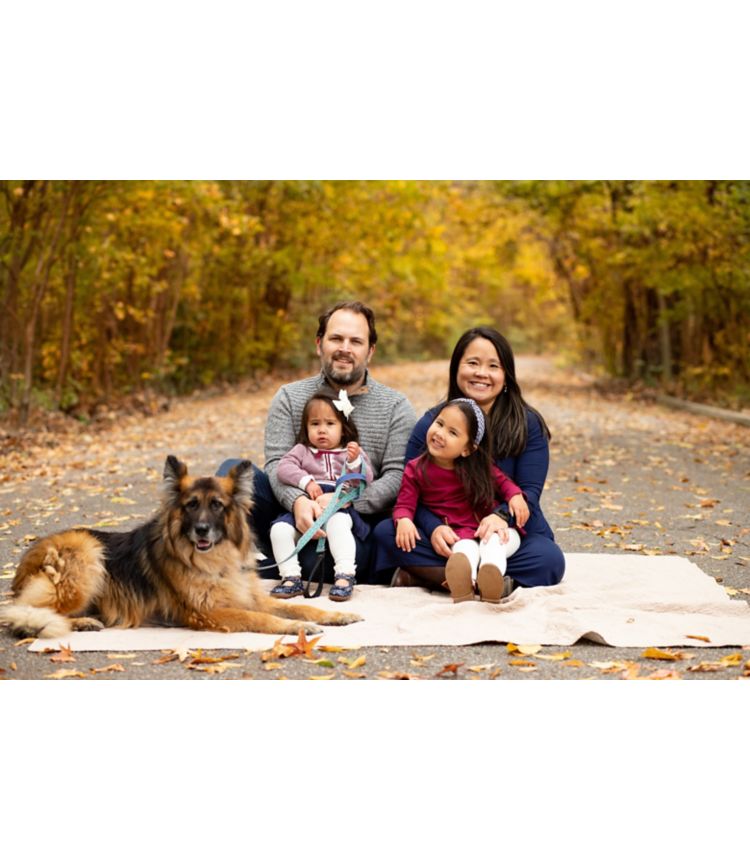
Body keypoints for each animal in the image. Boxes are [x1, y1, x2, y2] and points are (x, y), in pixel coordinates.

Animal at [0, 456, 362, 640]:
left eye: (216, 505)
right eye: (190, 506)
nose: (201, 530)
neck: (213, 561)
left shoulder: (251, 596)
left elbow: (300, 607)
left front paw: (332, 615)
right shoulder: (207, 613)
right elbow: (260, 619)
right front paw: (294, 629)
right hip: (87, 553)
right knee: (30, 611)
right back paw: (79, 623)